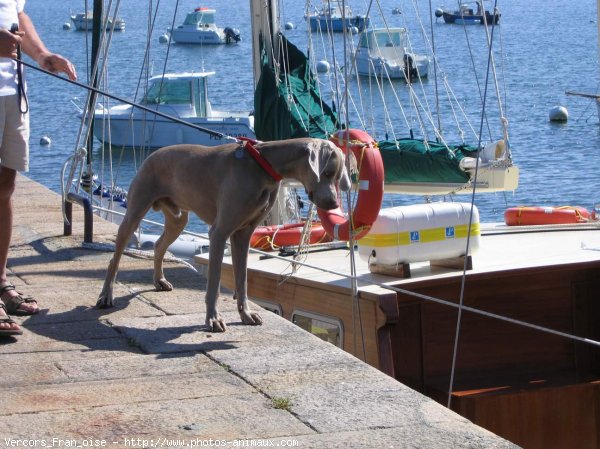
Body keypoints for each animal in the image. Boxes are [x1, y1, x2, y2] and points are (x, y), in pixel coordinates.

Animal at [97, 138, 352, 330]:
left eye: (338, 176)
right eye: (327, 172)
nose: (332, 204)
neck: (263, 165)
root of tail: (151, 155)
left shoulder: (243, 234)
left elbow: (243, 280)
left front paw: (246, 315)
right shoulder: (219, 232)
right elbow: (215, 283)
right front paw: (213, 319)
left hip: (178, 218)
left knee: (159, 245)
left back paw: (159, 280)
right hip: (136, 209)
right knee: (114, 257)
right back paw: (105, 296)